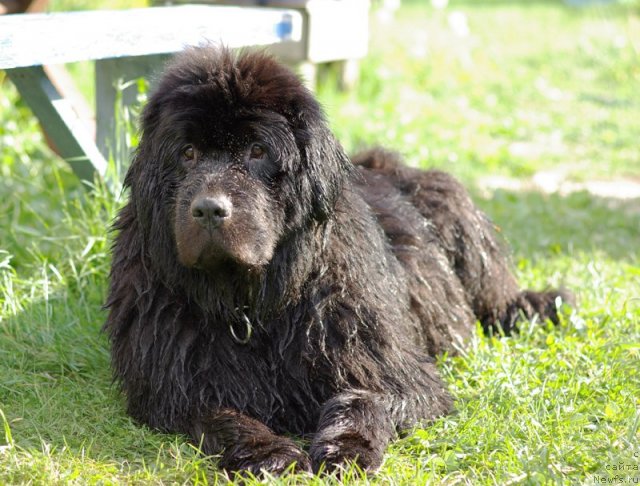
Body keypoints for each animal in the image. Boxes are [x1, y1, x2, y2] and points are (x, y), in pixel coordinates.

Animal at [105, 46, 568, 474]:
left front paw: (346, 449)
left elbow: (364, 398)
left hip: (452, 208)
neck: (253, 306)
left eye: (257, 151)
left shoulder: (389, 368)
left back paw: (531, 306)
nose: (208, 209)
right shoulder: (175, 387)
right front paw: (270, 452)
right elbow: (223, 417)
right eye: (187, 154)